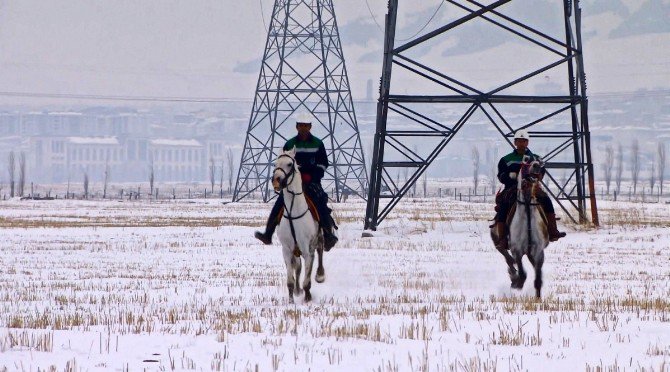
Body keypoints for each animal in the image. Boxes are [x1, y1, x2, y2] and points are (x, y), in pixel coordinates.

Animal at [272, 147, 326, 304]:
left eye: (290, 164)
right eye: (275, 163)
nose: (276, 180)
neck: (293, 212)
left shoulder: (308, 249)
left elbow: (307, 277)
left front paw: (307, 298)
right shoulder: (286, 249)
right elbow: (291, 278)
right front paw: (291, 299)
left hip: (318, 239)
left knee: (320, 251)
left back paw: (320, 275)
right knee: (298, 267)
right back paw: (297, 290)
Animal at [512, 155, 548, 298]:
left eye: (538, 159)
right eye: (526, 160)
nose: (537, 165)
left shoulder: (538, 251)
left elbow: (537, 280)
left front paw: (538, 298)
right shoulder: (516, 249)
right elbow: (522, 273)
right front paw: (516, 283)